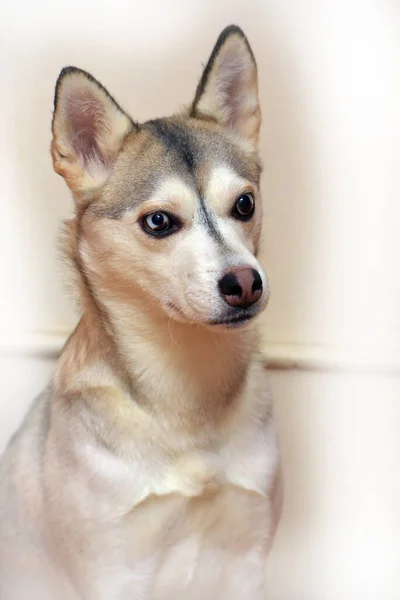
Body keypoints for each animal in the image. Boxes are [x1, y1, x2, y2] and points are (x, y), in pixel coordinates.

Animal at [0, 24, 282, 600]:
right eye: (158, 221)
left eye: (244, 204)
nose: (245, 282)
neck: (187, 402)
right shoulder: (112, 570)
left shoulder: (247, 551)